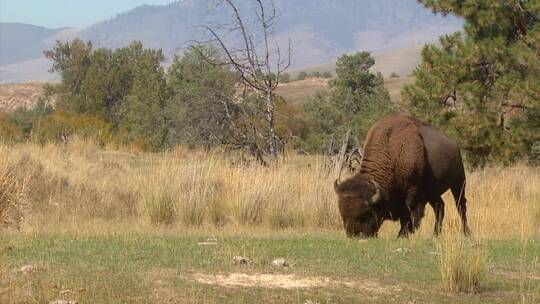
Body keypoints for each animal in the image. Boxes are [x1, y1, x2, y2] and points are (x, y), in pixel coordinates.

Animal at [336, 114, 470, 238]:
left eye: (366, 214)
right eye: (342, 214)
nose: (353, 234)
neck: (392, 151)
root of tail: (454, 144)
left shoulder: (412, 192)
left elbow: (409, 213)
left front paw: (402, 234)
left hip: (459, 182)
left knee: (460, 206)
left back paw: (466, 233)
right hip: (433, 191)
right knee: (440, 207)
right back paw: (436, 234)